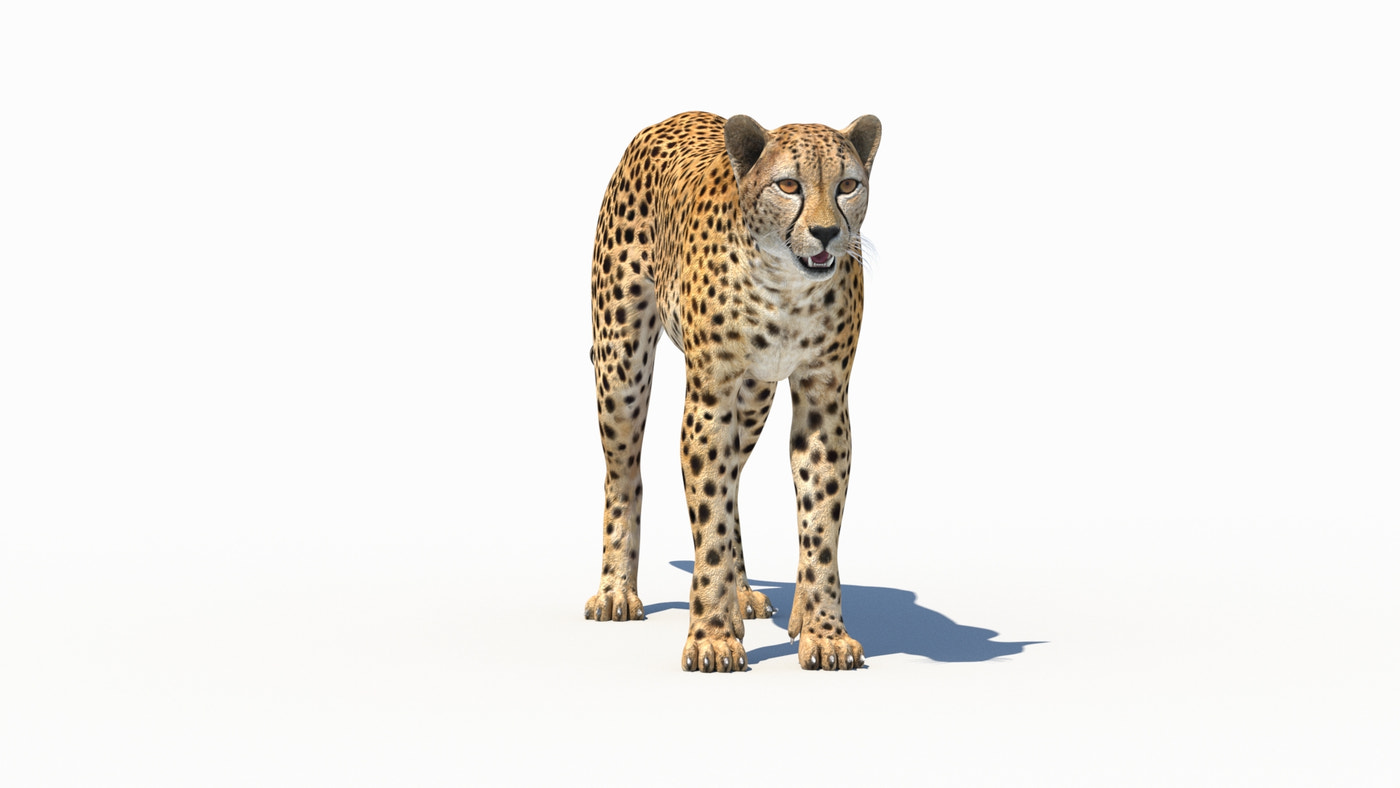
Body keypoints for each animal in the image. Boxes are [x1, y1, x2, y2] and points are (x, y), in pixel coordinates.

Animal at [584, 111, 882, 672]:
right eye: (788, 185)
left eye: (847, 185)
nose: (827, 232)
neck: (786, 287)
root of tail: (674, 116)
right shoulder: (709, 398)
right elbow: (709, 522)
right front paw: (711, 637)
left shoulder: (824, 399)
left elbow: (819, 521)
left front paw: (824, 633)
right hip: (621, 364)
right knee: (624, 474)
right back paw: (616, 591)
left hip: (756, 397)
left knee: (734, 480)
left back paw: (744, 594)